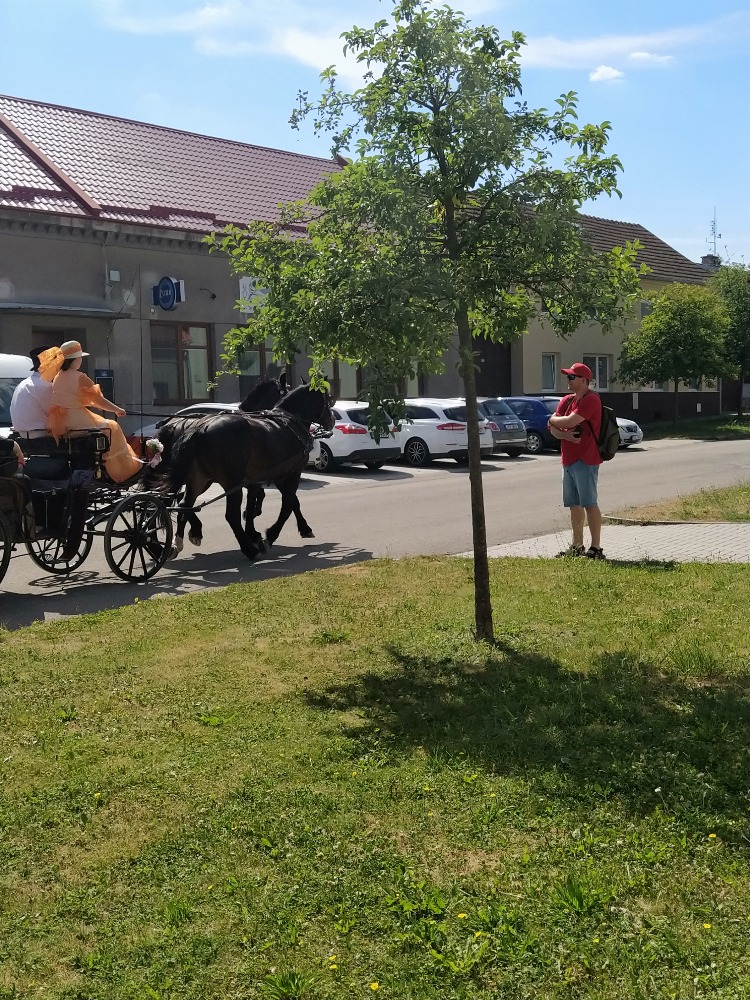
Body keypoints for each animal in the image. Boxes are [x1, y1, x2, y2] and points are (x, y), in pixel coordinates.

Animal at [149, 383, 334, 561]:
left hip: (199, 479)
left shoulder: (267, 478)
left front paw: (301, 528)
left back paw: (176, 542)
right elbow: (287, 505)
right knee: (229, 515)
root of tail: (199, 428)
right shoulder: (290, 473)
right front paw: (268, 537)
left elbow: (286, 502)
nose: (332, 420)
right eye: (327, 400)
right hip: (230, 482)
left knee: (182, 505)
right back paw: (249, 550)